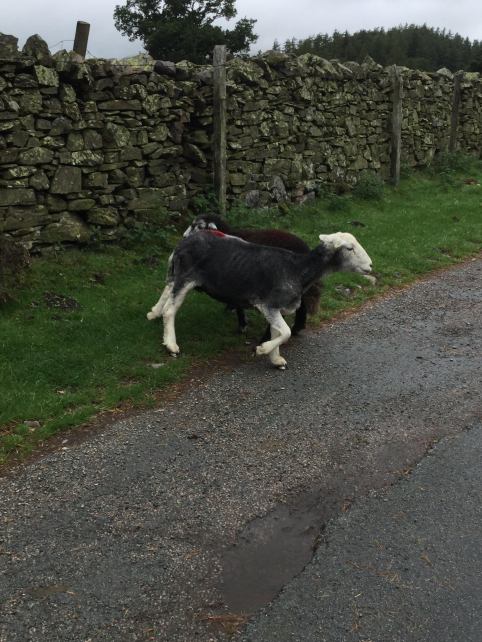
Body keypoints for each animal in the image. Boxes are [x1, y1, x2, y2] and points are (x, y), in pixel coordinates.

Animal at [147, 230, 372, 369]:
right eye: (349, 248)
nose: (371, 266)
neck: (298, 270)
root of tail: (183, 242)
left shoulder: (276, 308)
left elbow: (278, 332)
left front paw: (276, 359)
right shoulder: (268, 304)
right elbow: (286, 332)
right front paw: (263, 349)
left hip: (178, 274)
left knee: (166, 291)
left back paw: (153, 313)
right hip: (186, 277)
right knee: (170, 310)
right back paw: (171, 344)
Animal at [183, 214, 319, 337]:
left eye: (199, 226)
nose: (184, 237)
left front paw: (242, 325)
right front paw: (230, 309)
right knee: (302, 306)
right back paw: (297, 328)